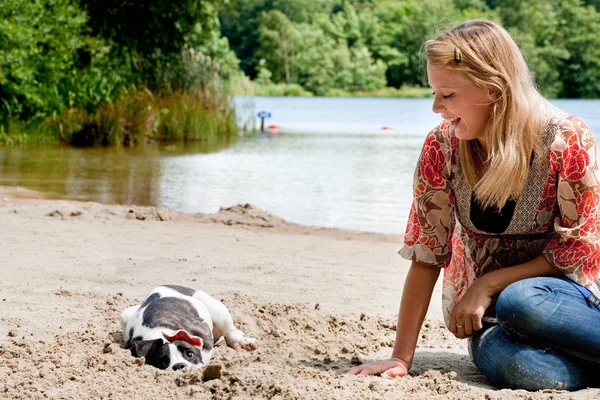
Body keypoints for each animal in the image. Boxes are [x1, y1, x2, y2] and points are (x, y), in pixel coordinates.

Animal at [119, 286, 258, 370]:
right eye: (162, 362)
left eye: (189, 354)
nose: (179, 366)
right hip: (124, 314)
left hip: (217, 309)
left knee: (229, 331)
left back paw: (243, 342)